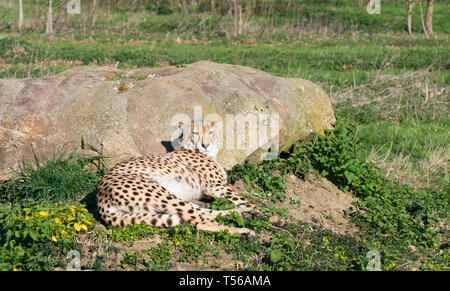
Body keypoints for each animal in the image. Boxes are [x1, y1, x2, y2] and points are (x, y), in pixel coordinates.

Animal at [97, 120, 260, 237]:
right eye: (195, 133)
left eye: (211, 132)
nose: (205, 145)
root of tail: (99, 194)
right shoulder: (216, 185)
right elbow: (243, 199)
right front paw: (263, 212)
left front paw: (252, 209)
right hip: (161, 193)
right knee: (199, 221)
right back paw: (243, 231)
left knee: (203, 213)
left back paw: (246, 213)